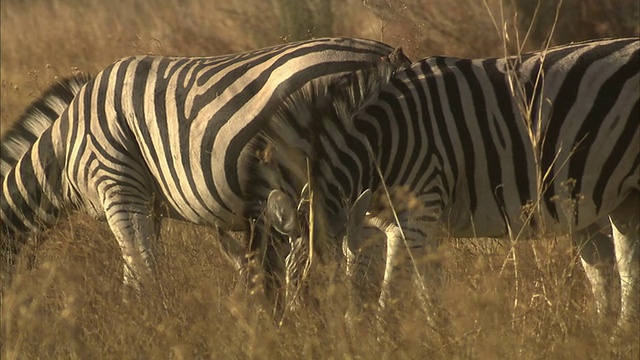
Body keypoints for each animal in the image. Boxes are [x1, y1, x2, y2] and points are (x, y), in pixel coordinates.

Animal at [0, 36, 404, 308]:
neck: (65, 146)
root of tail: (386, 52)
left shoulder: (118, 185)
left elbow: (140, 268)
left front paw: (143, 320)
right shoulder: (146, 202)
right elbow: (145, 264)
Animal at [255, 37, 640, 330]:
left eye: (324, 291)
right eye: (291, 286)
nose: (311, 339)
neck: (380, 144)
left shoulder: (416, 216)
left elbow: (393, 295)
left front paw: (388, 339)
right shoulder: (386, 224)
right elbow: (421, 289)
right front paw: (438, 335)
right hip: (622, 199)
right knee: (622, 265)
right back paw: (613, 336)